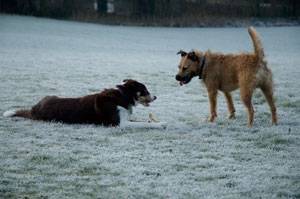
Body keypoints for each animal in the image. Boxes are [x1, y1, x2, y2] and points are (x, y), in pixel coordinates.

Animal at [2, 79, 157, 126]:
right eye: (145, 90)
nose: (156, 97)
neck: (123, 95)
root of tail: (34, 109)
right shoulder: (121, 124)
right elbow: (145, 124)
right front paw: (160, 124)